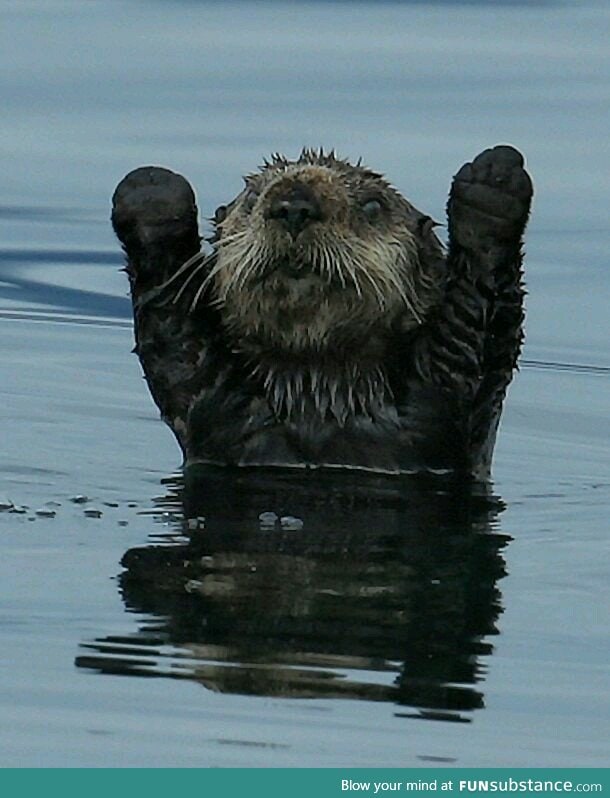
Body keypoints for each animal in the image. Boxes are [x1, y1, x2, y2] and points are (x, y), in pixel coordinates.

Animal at [111, 146, 528, 478]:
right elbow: (176, 339)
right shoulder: (209, 394)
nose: (294, 206)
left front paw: (494, 180)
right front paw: (153, 193)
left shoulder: (452, 387)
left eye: (373, 206)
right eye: (252, 198)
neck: (319, 393)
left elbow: (479, 319)